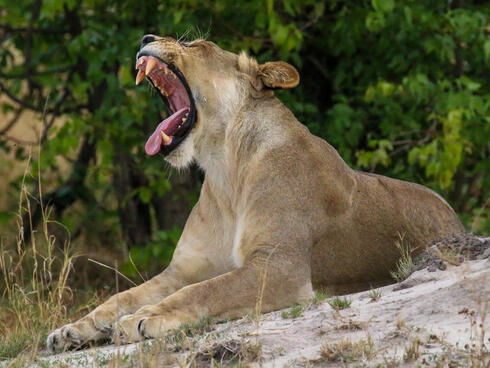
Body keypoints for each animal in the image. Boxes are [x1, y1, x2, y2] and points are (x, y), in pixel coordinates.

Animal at [46, 35, 464, 354]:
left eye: (196, 44)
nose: (146, 37)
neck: (224, 170)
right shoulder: (183, 269)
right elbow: (125, 296)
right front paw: (75, 329)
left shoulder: (280, 267)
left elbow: (207, 291)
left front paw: (146, 318)